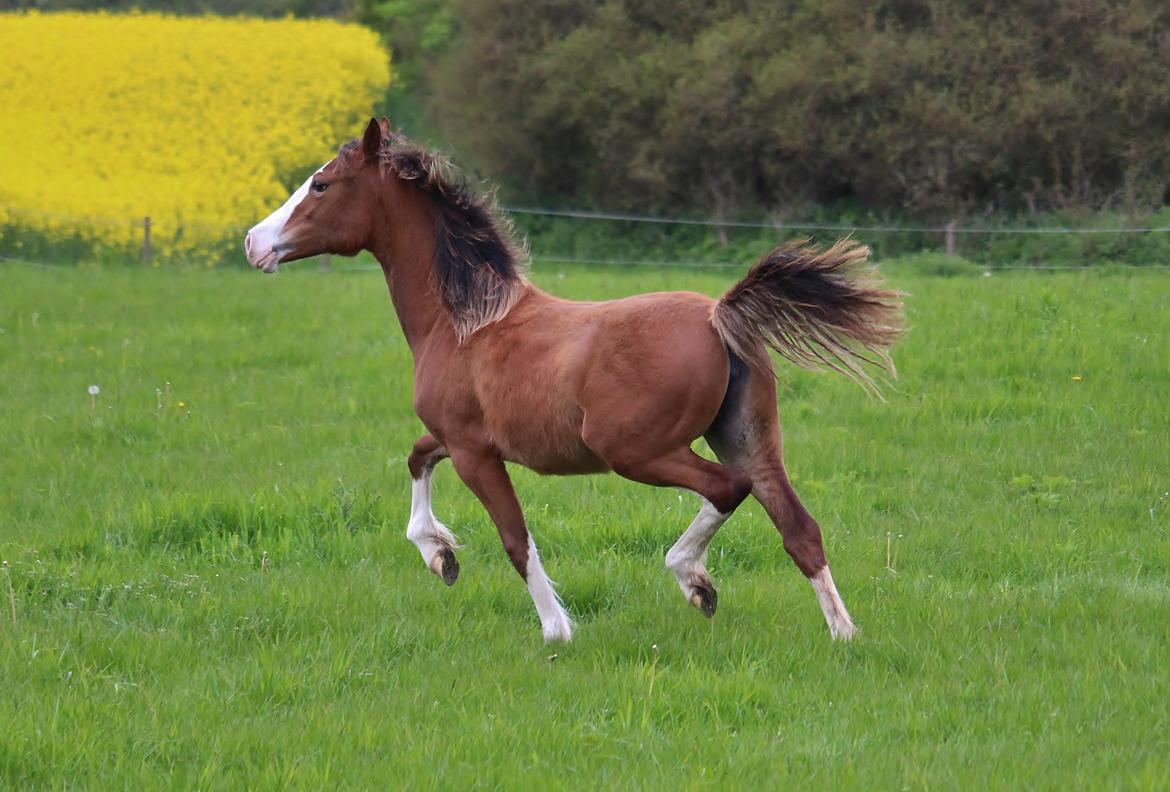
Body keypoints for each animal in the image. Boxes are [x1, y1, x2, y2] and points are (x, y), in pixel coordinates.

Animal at [244, 122, 903, 641]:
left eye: (322, 185)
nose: (253, 243)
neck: (464, 322)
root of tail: (720, 316)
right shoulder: (454, 437)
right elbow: (415, 458)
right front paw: (441, 556)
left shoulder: (475, 452)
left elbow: (514, 538)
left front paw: (556, 629)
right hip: (746, 437)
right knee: (798, 527)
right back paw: (843, 632)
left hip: (635, 450)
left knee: (727, 489)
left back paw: (694, 580)